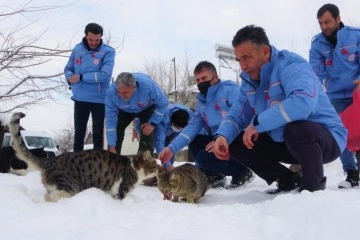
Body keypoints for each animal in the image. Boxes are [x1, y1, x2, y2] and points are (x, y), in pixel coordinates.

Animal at [9, 112, 158, 201]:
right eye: (155, 165)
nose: (158, 170)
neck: (135, 168)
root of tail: (50, 160)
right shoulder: (121, 189)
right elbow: (120, 197)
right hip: (69, 186)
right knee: (55, 196)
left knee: (47, 195)